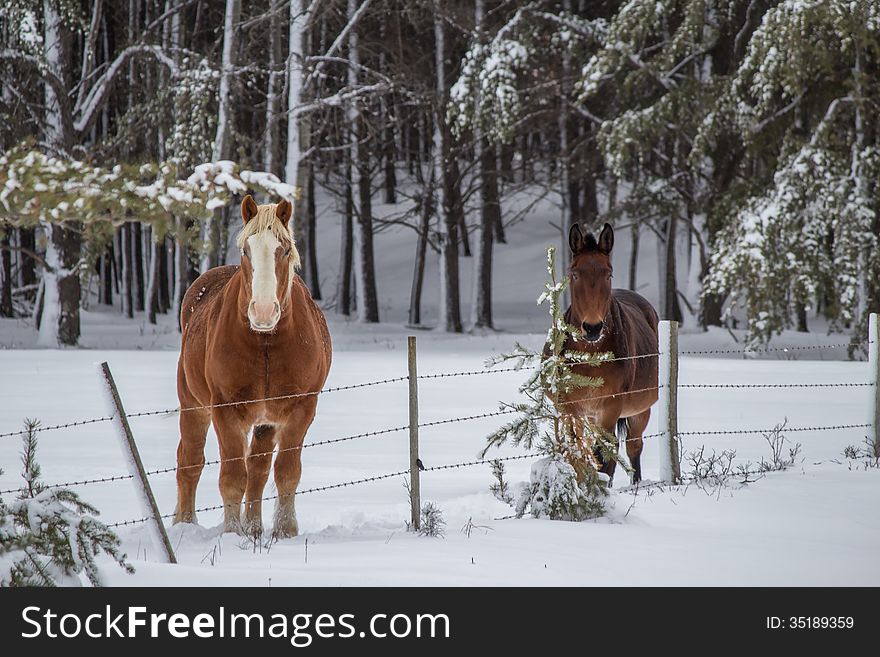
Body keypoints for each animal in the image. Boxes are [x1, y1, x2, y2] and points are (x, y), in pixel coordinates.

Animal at [174, 196, 330, 540]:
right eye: (246, 250)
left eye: (283, 250)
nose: (263, 311)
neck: (266, 345)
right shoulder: (226, 410)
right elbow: (233, 478)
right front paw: (233, 534)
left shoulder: (301, 409)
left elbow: (285, 472)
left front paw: (284, 531)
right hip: (193, 406)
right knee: (189, 462)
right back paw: (184, 525)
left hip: (264, 422)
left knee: (258, 470)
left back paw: (255, 526)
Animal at [560, 223, 656, 484]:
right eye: (575, 274)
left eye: (608, 274)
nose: (592, 328)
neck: (589, 358)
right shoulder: (572, 409)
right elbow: (577, 455)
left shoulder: (610, 408)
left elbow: (604, 458)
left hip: (640, 411)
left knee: (633, 447)